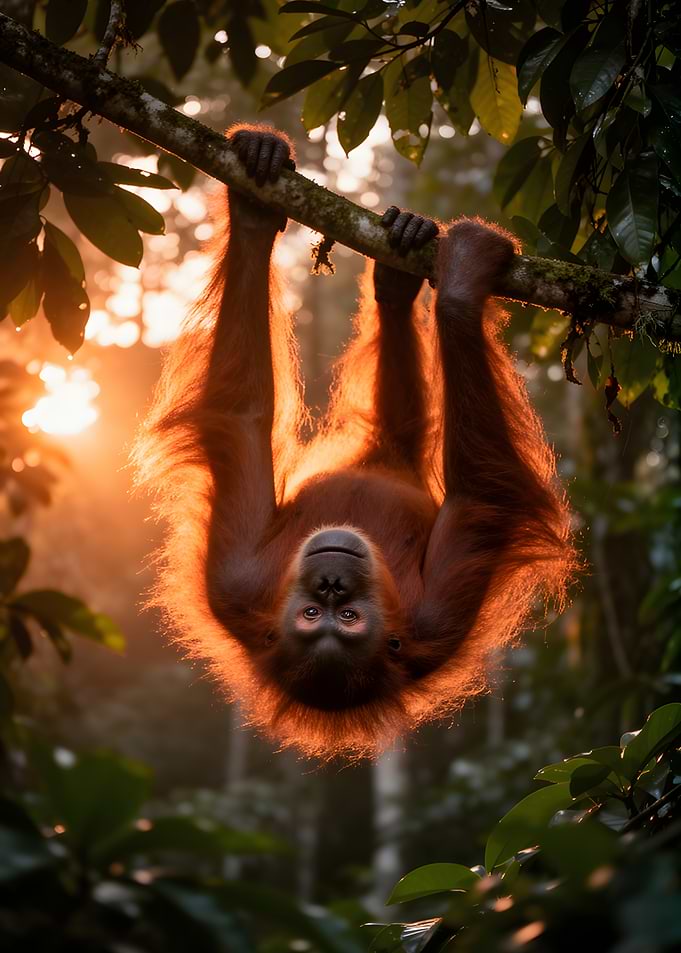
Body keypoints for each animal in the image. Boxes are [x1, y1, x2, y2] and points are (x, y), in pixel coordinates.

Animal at [134, 126, 573, 758]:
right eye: (313, 614)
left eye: (346, 618)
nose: (332, 581)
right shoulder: (242, 586)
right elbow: (242, 412)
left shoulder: (428, 620)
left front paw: (255, 208)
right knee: (400, 426)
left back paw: (399, 262)